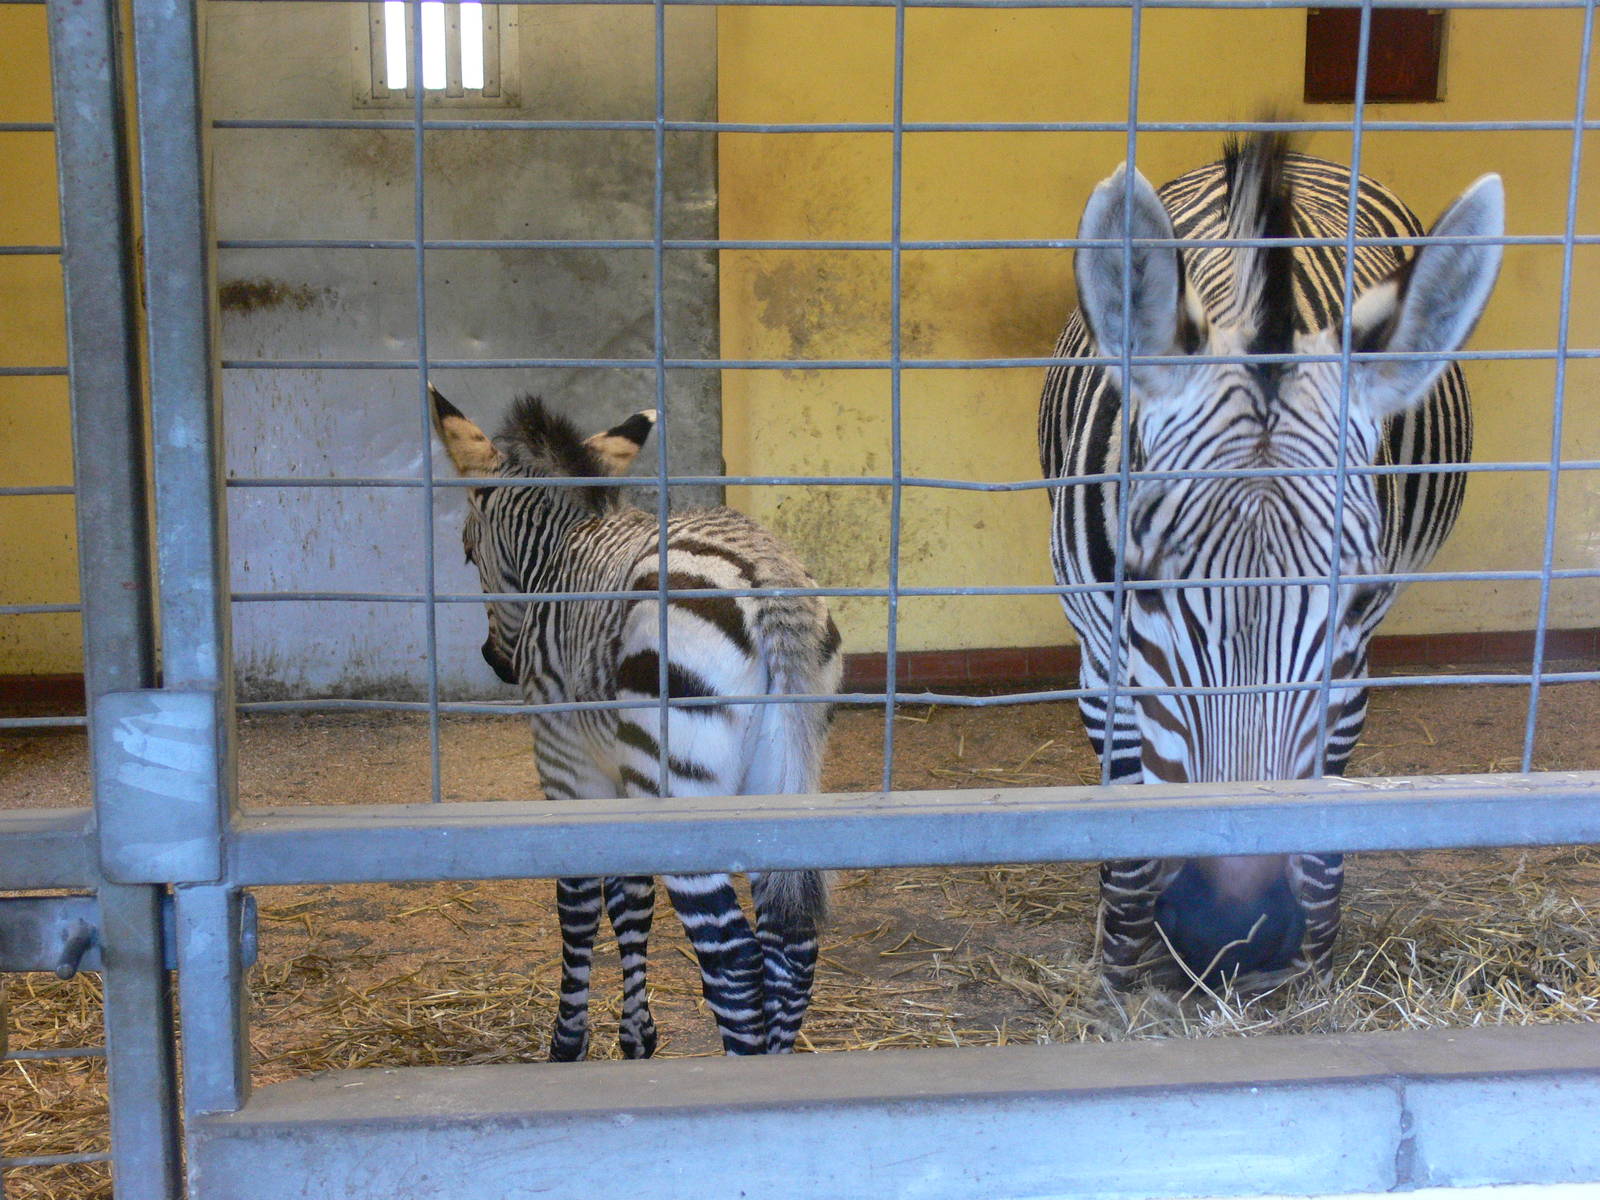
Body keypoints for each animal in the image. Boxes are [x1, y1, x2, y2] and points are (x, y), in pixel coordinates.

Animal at [431, 386, 842, 1057]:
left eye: (468, 553)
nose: (496, 662)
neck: (559, 554)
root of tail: (768, 575)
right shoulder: (624, 775)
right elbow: (631, 898)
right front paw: (637, 1037)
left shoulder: (567, 765)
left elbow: (577, 906)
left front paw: (569, 1043)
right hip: (777, 779)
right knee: (791, 949)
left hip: (685, 788)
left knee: (733, 961)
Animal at [1037, 132, 1503, 989]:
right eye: (1143, 587)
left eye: (1352, 599)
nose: (1235, 932)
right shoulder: (1100, 658)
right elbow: (1125, 828)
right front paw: (1117, 969)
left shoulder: (1347, 673)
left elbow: (1319, 831)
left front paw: (1313, 970)